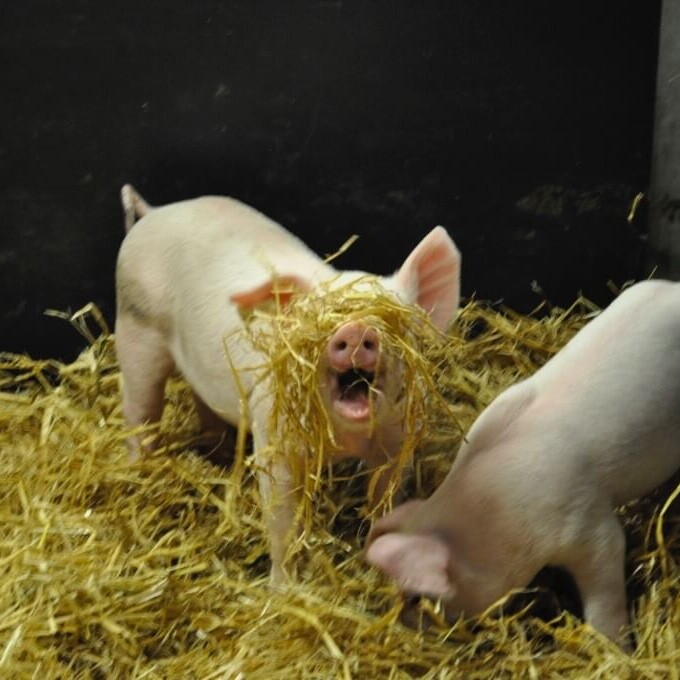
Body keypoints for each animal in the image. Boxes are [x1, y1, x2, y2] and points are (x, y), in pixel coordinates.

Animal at [115, 183, 462, 580]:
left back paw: (219, 457)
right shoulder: (274, 438)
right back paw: (139, 469)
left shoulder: (396, 440)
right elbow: (281, 520)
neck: (346, 438)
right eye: (316, 319)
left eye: (395, 320)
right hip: (135, 330)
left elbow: (385, 500)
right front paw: (284, 587)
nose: (356, 330)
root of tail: (155, 211)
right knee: (139, 410)